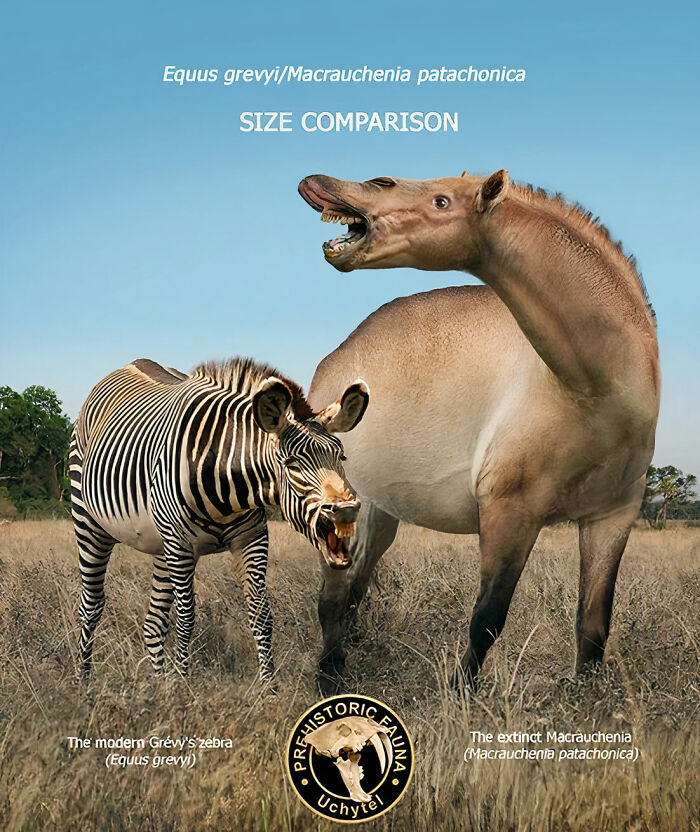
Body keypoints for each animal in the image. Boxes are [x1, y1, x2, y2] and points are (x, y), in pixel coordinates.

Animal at [69, 356, 369, 682]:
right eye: (292, 465)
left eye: (341, 458)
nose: (346, 509)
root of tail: (129, 364)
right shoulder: (180, 543)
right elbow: (186, 618)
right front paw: (183, 685)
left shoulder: (252, 538)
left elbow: (261, 614)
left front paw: (268, 687)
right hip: (90, 525)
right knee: (91, 606)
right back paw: (84, 680)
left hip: (162, 544)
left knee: (154, 622)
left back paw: (158, 686)